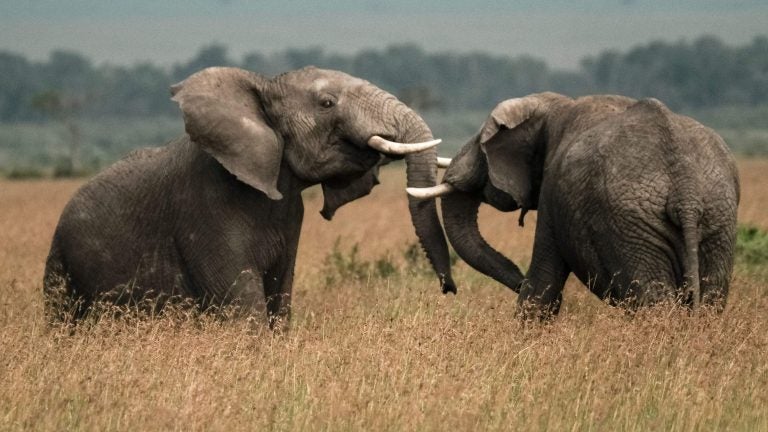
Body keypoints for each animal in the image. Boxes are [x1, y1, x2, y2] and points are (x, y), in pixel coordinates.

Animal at [43, 66, 456, 326]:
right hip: (61, 260)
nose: (449, 288)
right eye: (326, 103)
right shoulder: (205, 211)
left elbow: (280, 299)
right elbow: (245, 311)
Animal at [408, 92, 736, 320]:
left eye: (481, 145)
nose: (449, 290)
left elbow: (542, 283)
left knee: (653, 300)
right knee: (711, 298)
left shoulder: (552, 191)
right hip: (718, 219)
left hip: (633, 225)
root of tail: (686, 192)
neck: (553, 104)